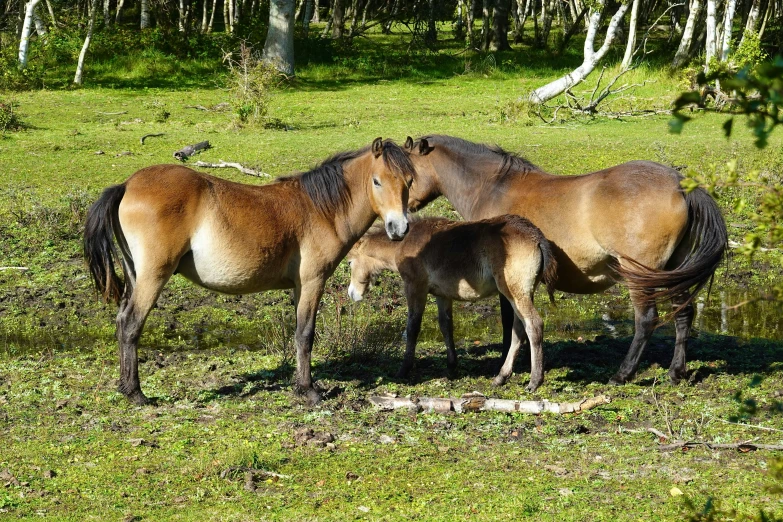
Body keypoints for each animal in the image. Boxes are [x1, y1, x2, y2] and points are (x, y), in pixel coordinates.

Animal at [84, 137, 416, 402]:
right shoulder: (313, 281)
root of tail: (127, 185)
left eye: (409, 181)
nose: (399, 228)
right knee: (131, 324)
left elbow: (299, 333)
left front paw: (299, 385)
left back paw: (125, 387)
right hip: (153, 276)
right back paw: (136, 393)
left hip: (135, 276)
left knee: (121, 321)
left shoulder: (299, 286)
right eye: (377, 181)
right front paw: (309, 391)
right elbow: (306, 334)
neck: (320, 208)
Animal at [344, 215, 556, 390]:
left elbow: (412, 328)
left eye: (349, 262)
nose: (352, 293)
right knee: (519, 329)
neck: (405, 244)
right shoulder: (442, 295)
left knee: (533, 325)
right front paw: (452, 366)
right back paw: (501, 377)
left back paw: (534, 381)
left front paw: (403, 370)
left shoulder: (415, 287)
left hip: (514, 292)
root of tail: (537, 238)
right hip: (523, 294)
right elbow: (446, 325)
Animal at [404, 133, 728, 386]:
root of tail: (681, 183)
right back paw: (676, 372)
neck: (493, 188)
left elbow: (512, 324)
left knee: (646, 321)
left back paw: (622, 374)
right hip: (673, 273)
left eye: (407, 175)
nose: (402, 216)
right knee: (683, 314)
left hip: (639, 275)